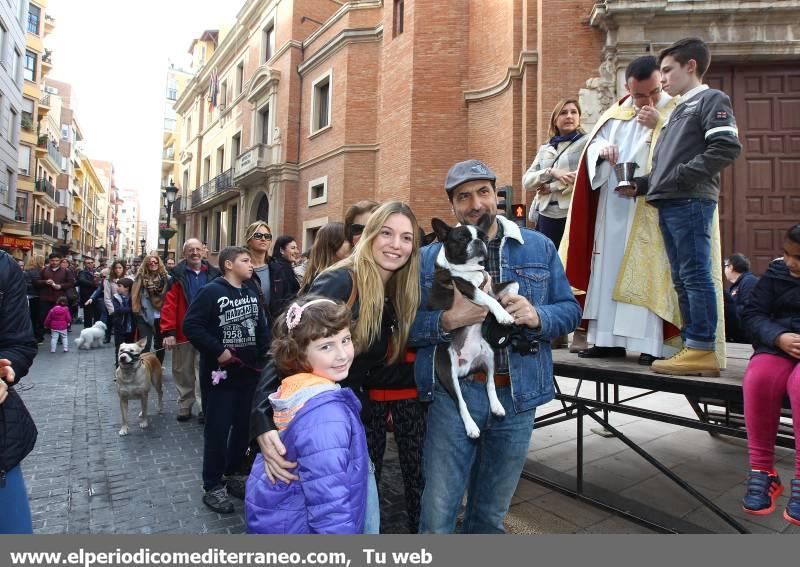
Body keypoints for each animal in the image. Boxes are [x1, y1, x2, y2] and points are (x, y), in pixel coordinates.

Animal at [432, 217, 520, 440]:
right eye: (462, 238)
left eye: (483, 237)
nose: (478, 242)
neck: (469, 270)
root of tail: (465, 368)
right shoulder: (468, 289)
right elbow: (490, 300)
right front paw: (503, 315)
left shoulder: (491, 286)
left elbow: (513, 284)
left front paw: (512, 304)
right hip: (447, 372)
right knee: (460, 401)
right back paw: (471, 427)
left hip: (489, 354)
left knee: (490, 383)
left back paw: (497, 407)